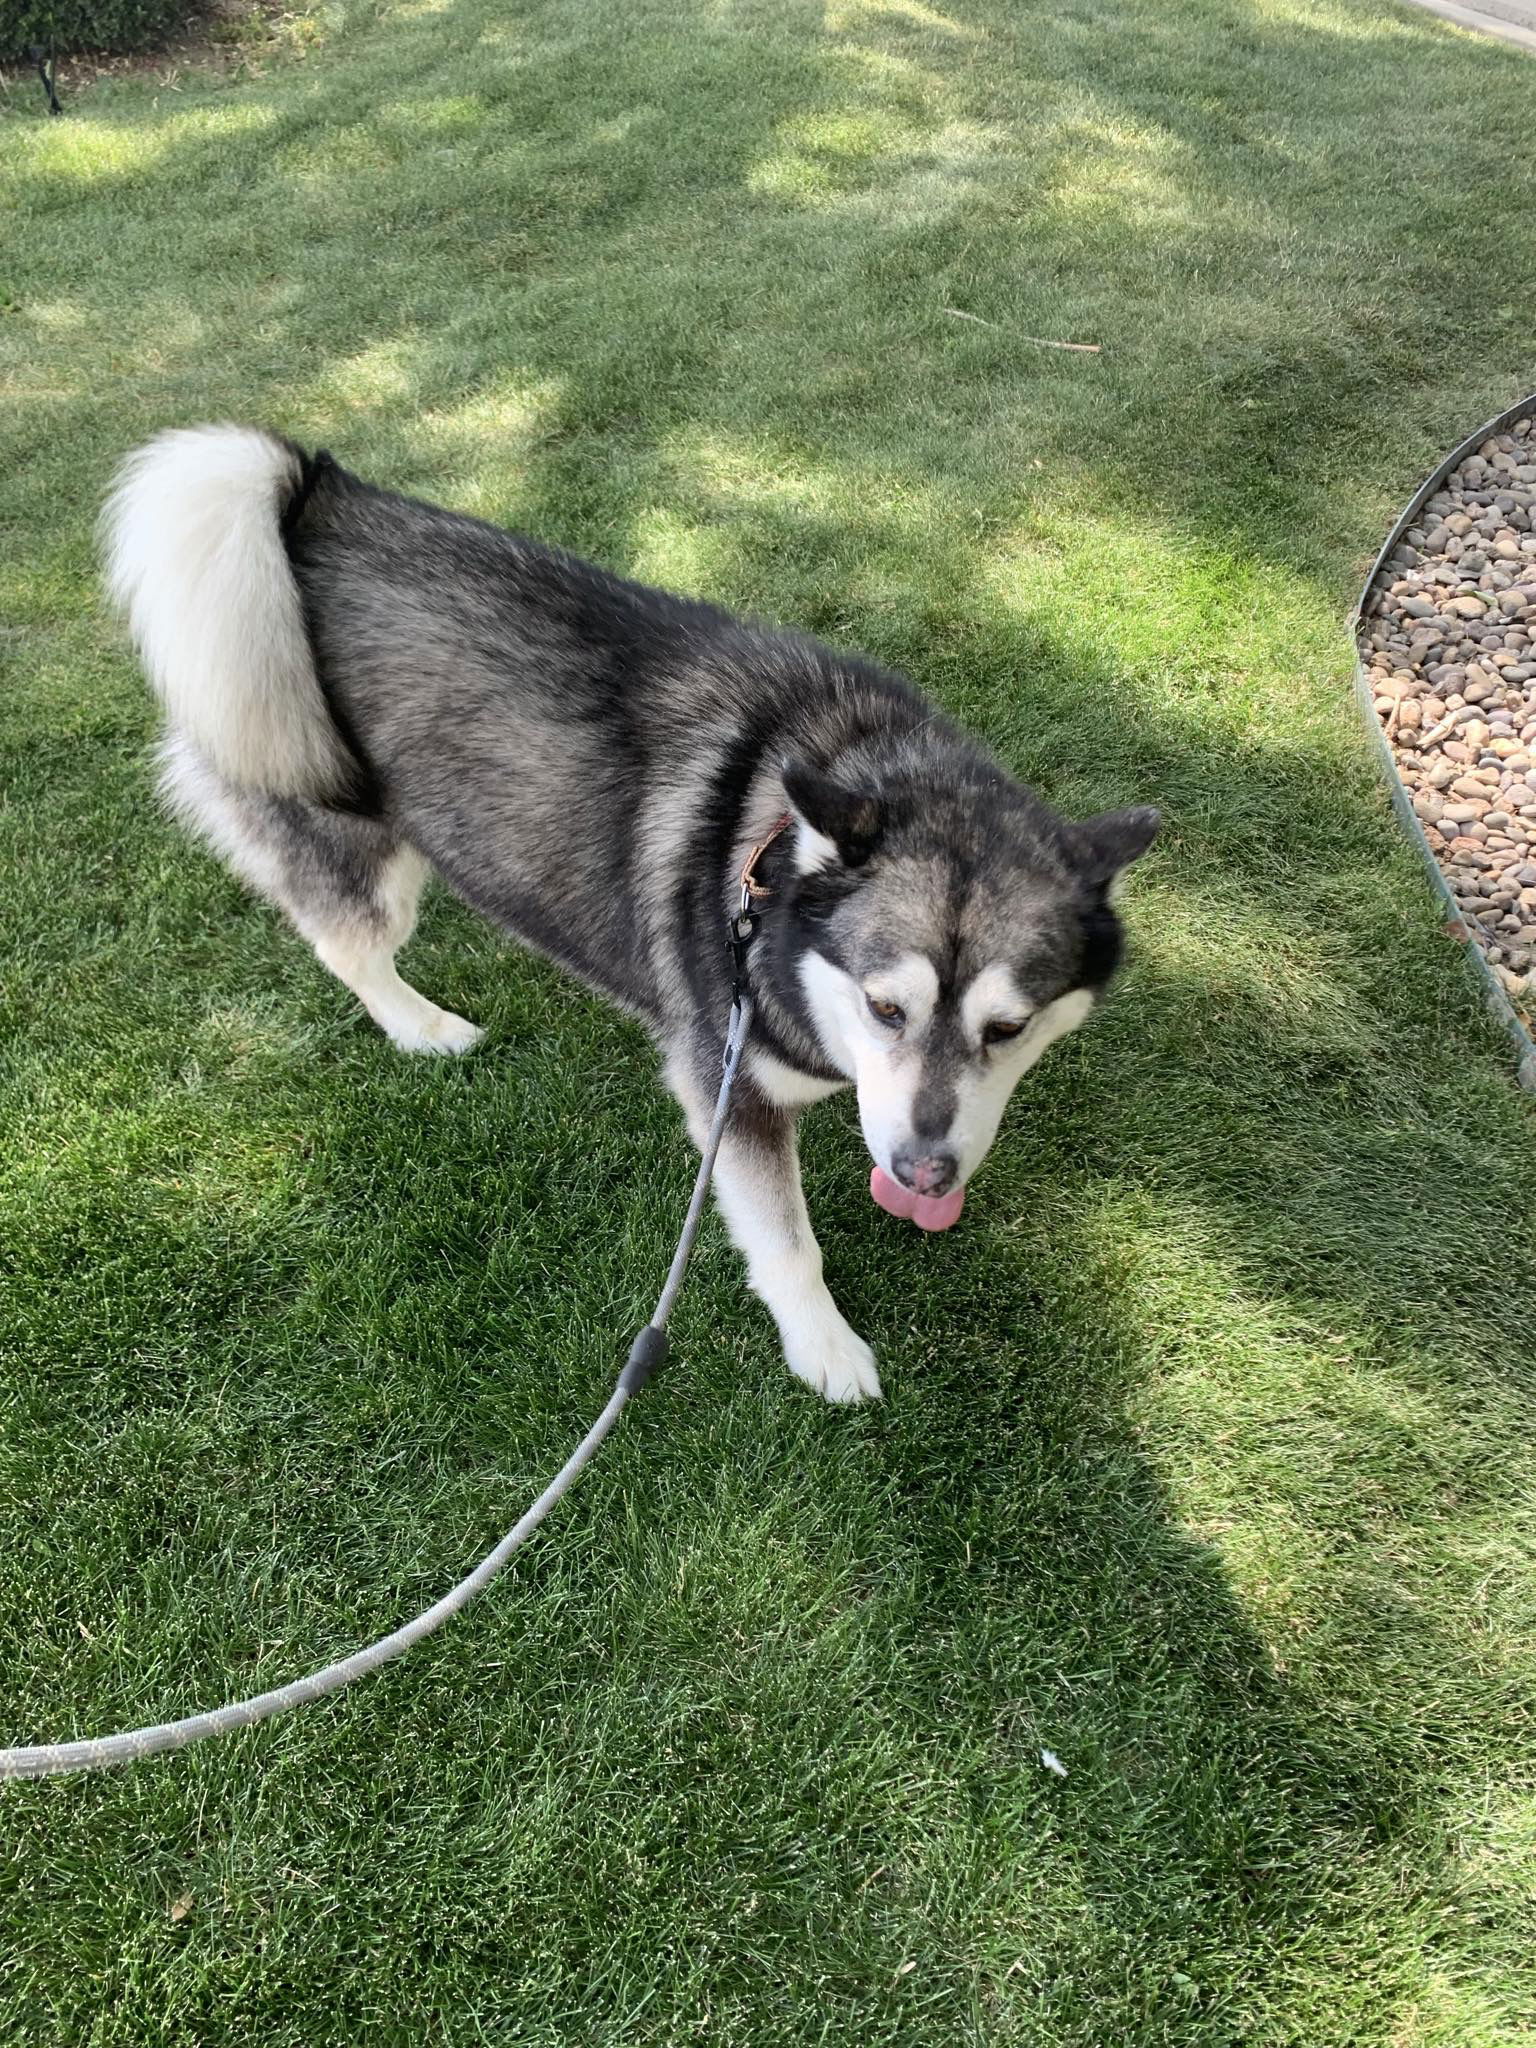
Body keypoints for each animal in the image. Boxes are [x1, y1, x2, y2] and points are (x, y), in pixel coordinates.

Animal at [102, 423, 1163, 1400]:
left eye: (1010, 1029)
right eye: (885, 1008)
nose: (923, 1177)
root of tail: (316, 500)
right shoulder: (721, 1080)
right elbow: (787, 1241)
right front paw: (823, 1347)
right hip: (344, 829)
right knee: (348, 946)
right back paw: (421, 1026)